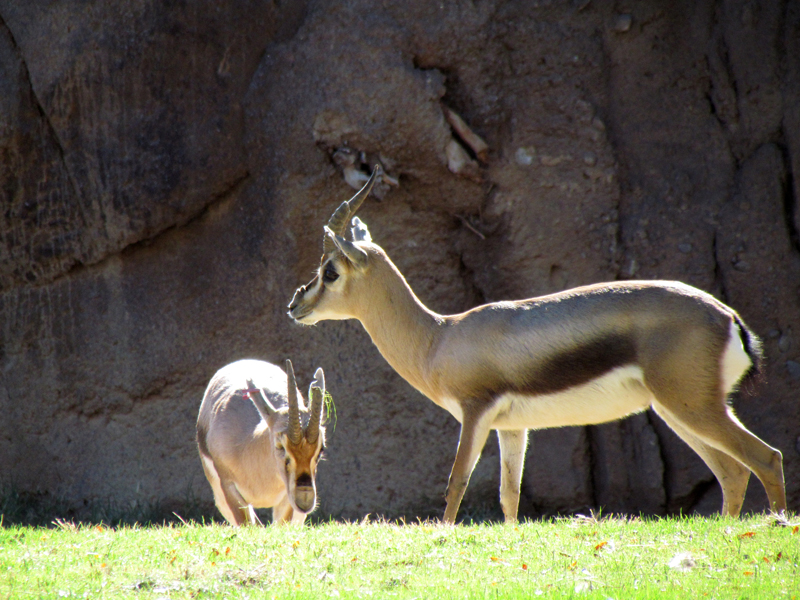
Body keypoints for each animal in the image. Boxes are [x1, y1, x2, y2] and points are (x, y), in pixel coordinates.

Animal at [287, 167, 787, 524]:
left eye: (330, 270)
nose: (295, 305)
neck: (439, 336)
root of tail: (728, 318)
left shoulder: (475, 413)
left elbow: (456, 483)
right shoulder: (513, 428)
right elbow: (509, 497)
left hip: (694, 408)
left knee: (767, 457)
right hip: (678, 410)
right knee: (733, 471)